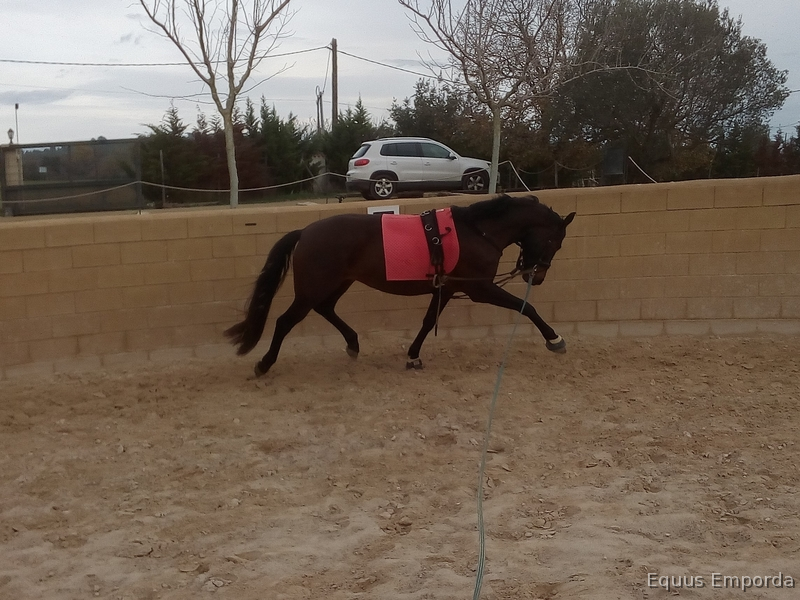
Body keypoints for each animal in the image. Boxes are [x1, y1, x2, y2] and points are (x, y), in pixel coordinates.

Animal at [225, 194, 575, 377]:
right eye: (555, 242)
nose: (536, 276)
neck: (477, 231)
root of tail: (306, 232)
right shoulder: (480, 289)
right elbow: (526, 307)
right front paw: (555, 339)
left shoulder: (448, 287)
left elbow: (428, 321)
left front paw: (413, 356)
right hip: (312, 288)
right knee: (285, 322)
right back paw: (264, 363)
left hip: (338, 283)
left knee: (326, 309)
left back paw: (353, 344)